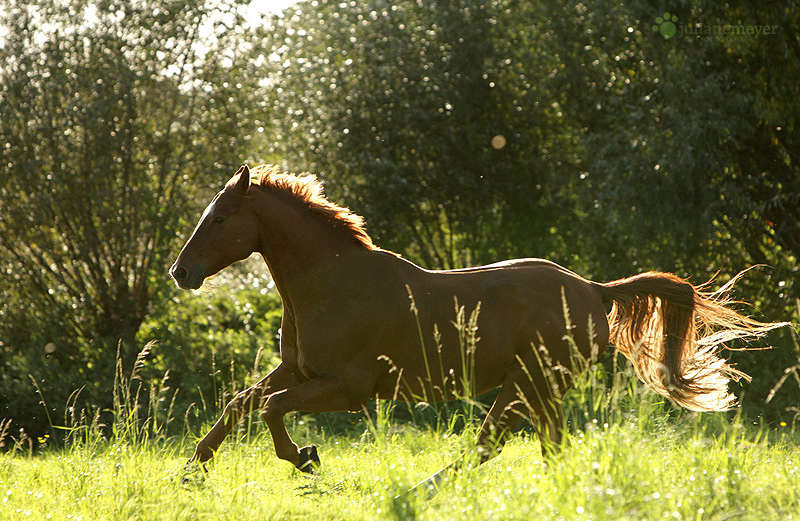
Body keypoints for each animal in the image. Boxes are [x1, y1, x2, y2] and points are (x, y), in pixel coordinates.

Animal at [170, 165, 788, 486]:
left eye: (220, 218)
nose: (182, 272)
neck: (331, 285)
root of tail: (594, 291)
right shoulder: (298, 371)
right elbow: (242, 403)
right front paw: (191, 469)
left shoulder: (348, 389)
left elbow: (271, 410)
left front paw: (306, 458)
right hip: (536, 391)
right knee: (541, 447)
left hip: (525, 386)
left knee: (490, 444)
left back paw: (422, 489)